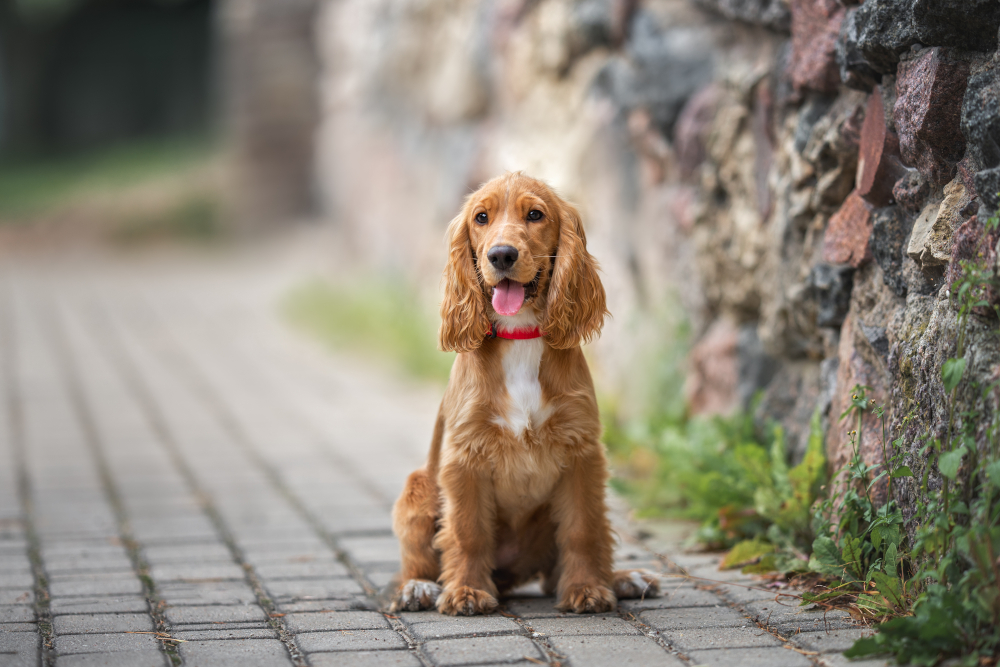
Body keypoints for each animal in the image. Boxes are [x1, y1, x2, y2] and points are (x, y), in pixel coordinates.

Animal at [386, 171, 660, 616]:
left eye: (535, 215)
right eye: (481, 218)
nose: (501, 255)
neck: (521, 335)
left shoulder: (582, 453)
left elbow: (584, 529)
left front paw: (587, 588)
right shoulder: (464, 457)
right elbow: (467, 532)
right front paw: (465, 591)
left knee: (564, 564)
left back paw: (622, 579)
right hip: (419, 486)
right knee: (417, 560)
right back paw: (419, 588)